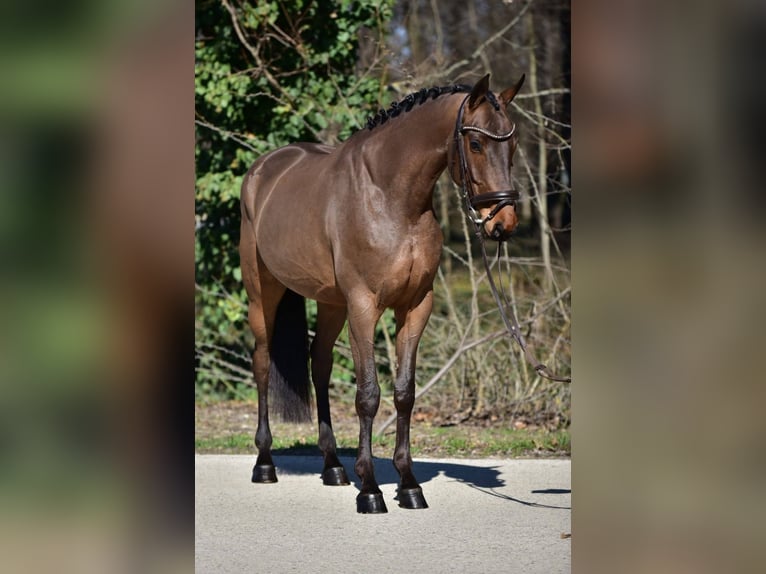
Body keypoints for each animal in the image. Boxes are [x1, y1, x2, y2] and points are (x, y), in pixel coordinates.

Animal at [239, 73, 525, 513]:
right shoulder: (364, 306)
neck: (390, 198)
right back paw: (265, 463)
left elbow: (404, 393)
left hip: (330, 303)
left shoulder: (416, 306)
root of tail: (262, 170)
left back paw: (332, 466)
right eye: (476, 143)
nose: (503, 223)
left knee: (319, 365)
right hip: (263, 294)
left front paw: (408, 485)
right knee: (263, 364)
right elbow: (368, 395)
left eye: (510, 145)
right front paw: (371, 489)